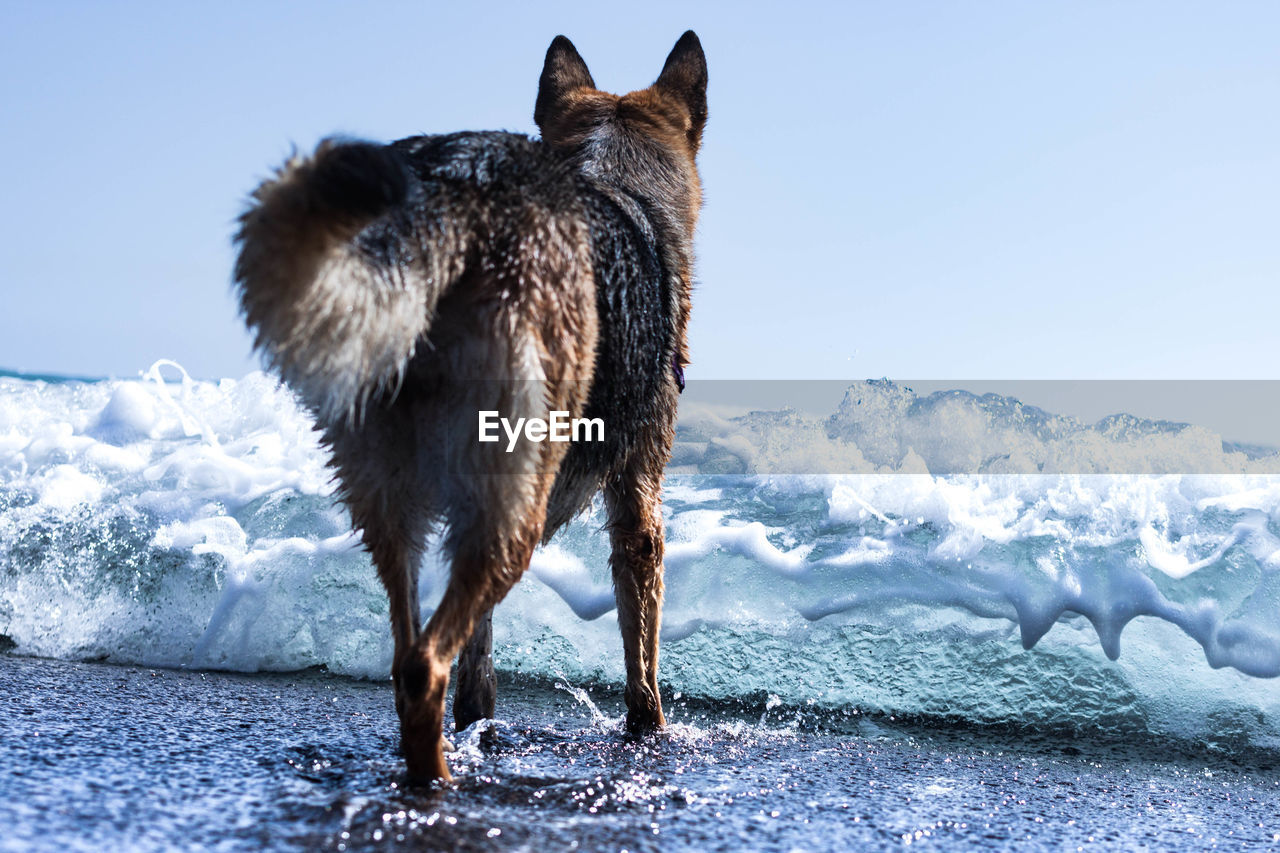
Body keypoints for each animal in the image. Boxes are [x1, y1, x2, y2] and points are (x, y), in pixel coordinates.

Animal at [235, 31, 706, 778]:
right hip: (513, 510)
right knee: (425, 663)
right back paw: (439, 779)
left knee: (407, 657)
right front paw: (649, 733)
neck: (613, 180)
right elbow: (643, 659)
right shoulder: (636, 502)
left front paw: (480, 721)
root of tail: (454, 196)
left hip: (393, 497)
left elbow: (478, 669)